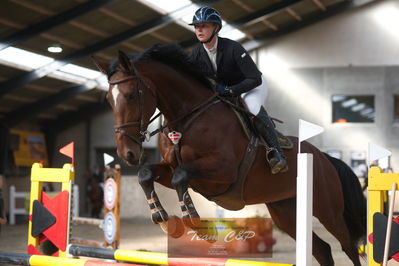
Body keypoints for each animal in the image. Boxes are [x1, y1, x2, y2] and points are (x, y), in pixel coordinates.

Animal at [92, 42, 368, 264]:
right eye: (109, 100)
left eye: (131, 95)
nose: (127, 153)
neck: (187, 117)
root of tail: (324, 158)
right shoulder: (172, 169)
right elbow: (147, 174)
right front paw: (163, 220)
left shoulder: (222, 171)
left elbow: (182, 176)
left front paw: (199, 226)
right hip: (286, 211)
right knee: (322, 250)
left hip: (327, 209)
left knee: (348, 246)